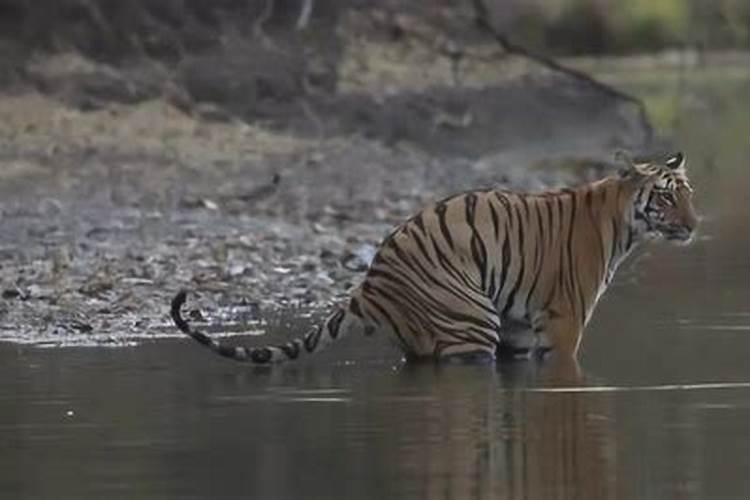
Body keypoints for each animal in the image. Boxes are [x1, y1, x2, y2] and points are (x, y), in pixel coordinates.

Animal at [172, 150, 700, 366]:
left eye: (688, 194)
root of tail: (368, 282)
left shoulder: (520, 329)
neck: (624, 224)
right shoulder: (564, 322)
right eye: (665, 197)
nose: (694, 225)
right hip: (469, 323)